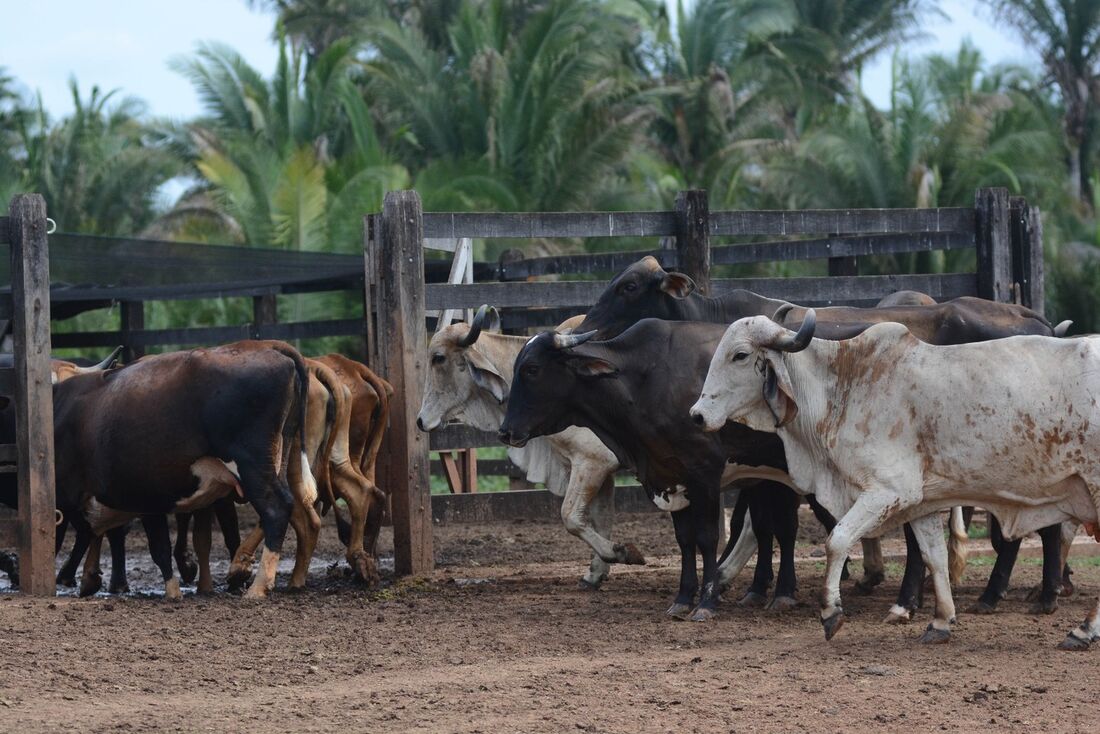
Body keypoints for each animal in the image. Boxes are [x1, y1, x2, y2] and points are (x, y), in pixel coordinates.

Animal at [690, 310, 1100, 647]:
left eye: (740, 355)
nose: (697, 414)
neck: (844, 386)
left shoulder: (886, 491)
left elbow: (837, 540)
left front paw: (832, 612)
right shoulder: (922, 501)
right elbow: (934, 556)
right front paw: (940, 621)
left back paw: (1083, 629)